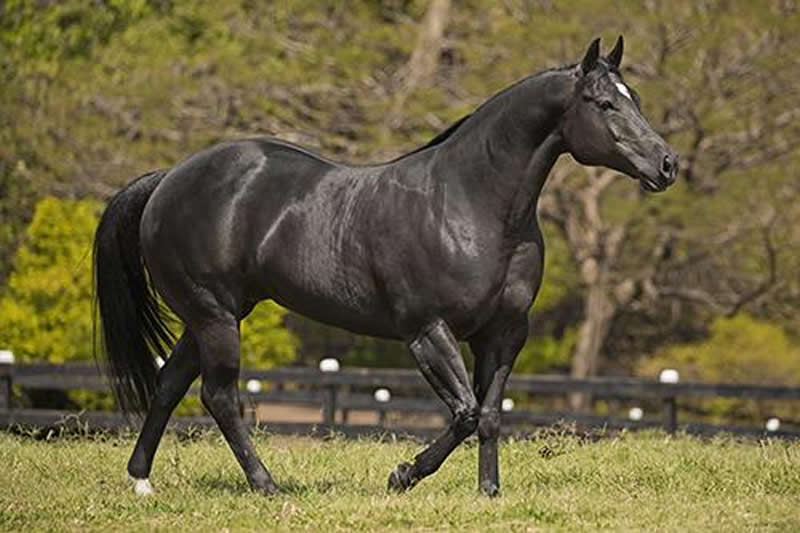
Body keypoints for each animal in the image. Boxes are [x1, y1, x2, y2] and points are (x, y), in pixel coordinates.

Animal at [97, 36, 680, 494]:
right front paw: (402, 475)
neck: (470, 203)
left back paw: (141, 481)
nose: (667, 165)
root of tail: (169, 179)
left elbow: (490, 415)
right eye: (603, 103)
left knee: (170, 383)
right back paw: (265, 485)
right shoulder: (427, 331)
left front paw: (489, 493)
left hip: (212, 316)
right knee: (218, 396)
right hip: (215, 316)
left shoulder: (503, 333)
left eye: (635, 99)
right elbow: (465, 412)